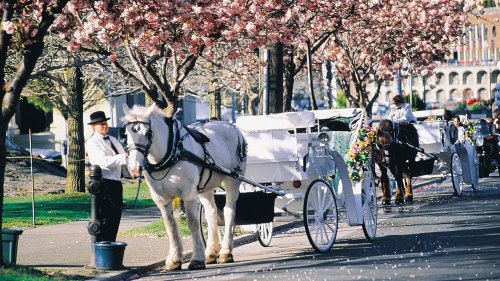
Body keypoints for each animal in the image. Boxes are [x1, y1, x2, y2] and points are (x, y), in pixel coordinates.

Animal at [121, 104, 246, 270]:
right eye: (126, 134)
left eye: (148, 133)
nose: (135, 168)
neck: (172, 151)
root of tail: (232, 126)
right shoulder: (161, 199)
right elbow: (170, 226)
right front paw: (174, 260)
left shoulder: (188, 194)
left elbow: (192, 223)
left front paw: (197, 259)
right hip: (205, 187)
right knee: (211, 213)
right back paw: (211, 253)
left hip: (233, 180)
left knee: (228, 211)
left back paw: (226, 252)